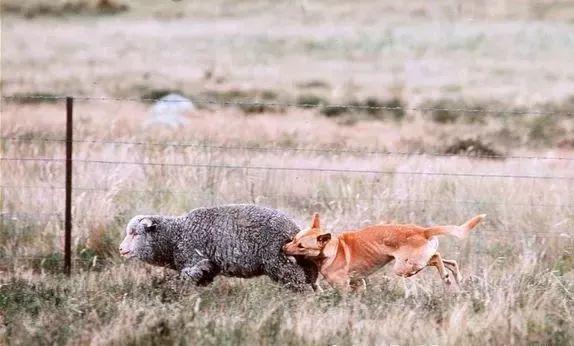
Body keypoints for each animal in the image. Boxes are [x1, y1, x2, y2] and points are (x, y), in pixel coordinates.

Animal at [120, 204, 322, 290]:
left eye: (135, 233)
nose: (121, 249)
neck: (175, 236)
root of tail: (294, 229)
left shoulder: (193, 262)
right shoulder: (207, 268)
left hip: (281, 264)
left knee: (300, 285)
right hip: (300, 264)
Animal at [284, 212, 486, 290]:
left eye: (301, 246)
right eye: (294, 239)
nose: (283, 248)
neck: (332, 249)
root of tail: (422, 231)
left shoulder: (342, 287)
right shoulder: (359, 284)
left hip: (403, 267)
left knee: (436, 258)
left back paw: (446, 277)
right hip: (414, 263)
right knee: (449, 261)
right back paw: (455, 276)